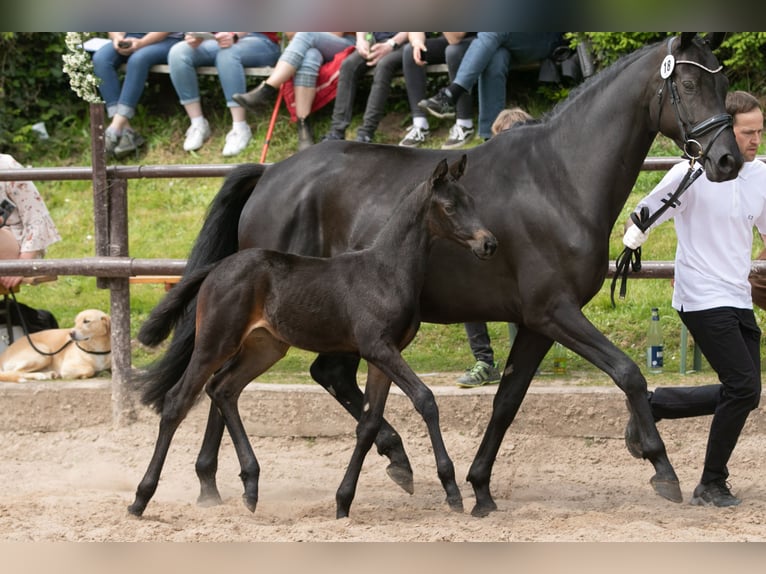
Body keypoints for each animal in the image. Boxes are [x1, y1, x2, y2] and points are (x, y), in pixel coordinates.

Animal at [129, 158, 498, 520]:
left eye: (472, 201)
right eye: (449, 206)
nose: (489, 244)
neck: (386, 271)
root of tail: (217, 268)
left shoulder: (381, 357)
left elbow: (368, 424)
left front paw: (344, 501)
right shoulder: (379, 348)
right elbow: (425, 399)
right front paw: (451, 488)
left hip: (265, 348)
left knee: (223, 389)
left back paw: (250, 485)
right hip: (215, 341)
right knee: (178, 401)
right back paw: (140, 498)